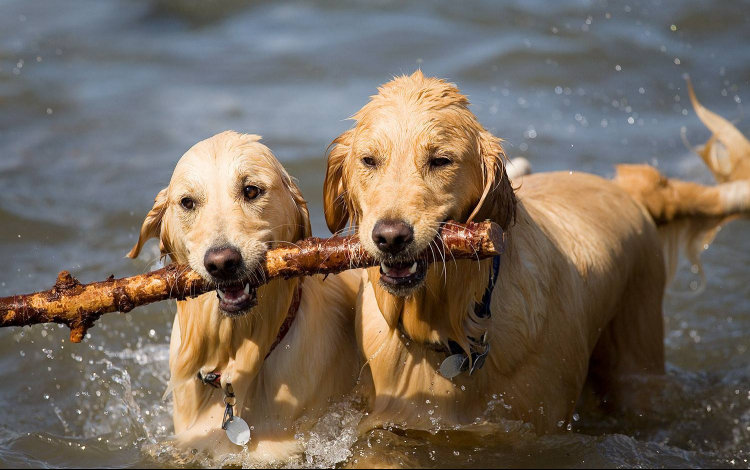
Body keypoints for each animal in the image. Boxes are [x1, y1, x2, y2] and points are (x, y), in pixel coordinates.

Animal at [324, 71, 750, 436]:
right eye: (369, 160)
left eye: (440, 160)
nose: (390, 237)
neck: (451, 331)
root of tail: (627, 190)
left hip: (636, 356)